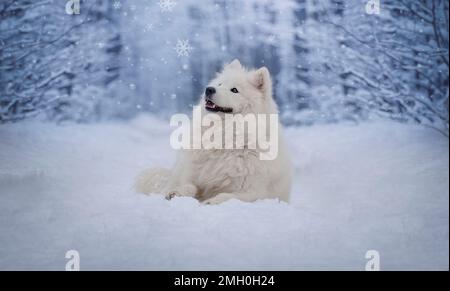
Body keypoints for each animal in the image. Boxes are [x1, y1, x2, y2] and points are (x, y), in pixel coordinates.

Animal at [135, 60, 294, 205]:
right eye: (220, 84)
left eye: (234, 90)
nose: (209, 89)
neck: (224, 136)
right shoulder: (194, 175)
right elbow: (189, 186)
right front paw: (176, 193)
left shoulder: (254, 192)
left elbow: (228, 196)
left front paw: (211, 201)